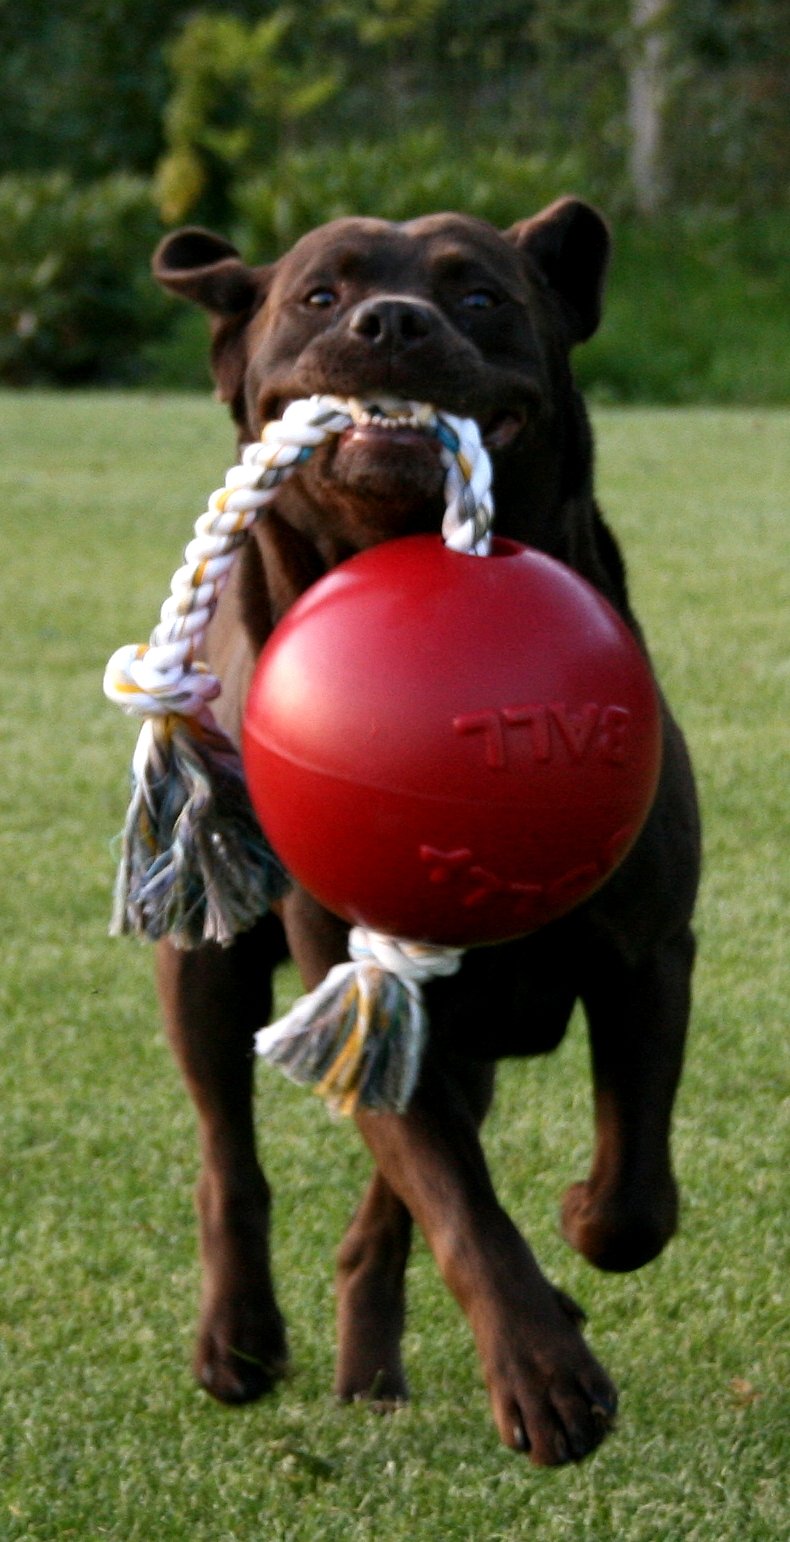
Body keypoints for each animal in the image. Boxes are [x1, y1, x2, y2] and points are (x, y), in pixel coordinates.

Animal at [151, 198, 700, 1461]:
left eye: (480, 295)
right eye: (318, 294)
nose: (390, 322)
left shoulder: (649, 947)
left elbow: (631, 1194)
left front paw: (578, 1229)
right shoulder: (358, 984)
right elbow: (459, 1202)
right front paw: (545, 1375)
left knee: (379, 1220)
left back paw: (369, 1368)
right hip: (203, 964)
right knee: (227, 1153)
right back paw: (237, 1339)